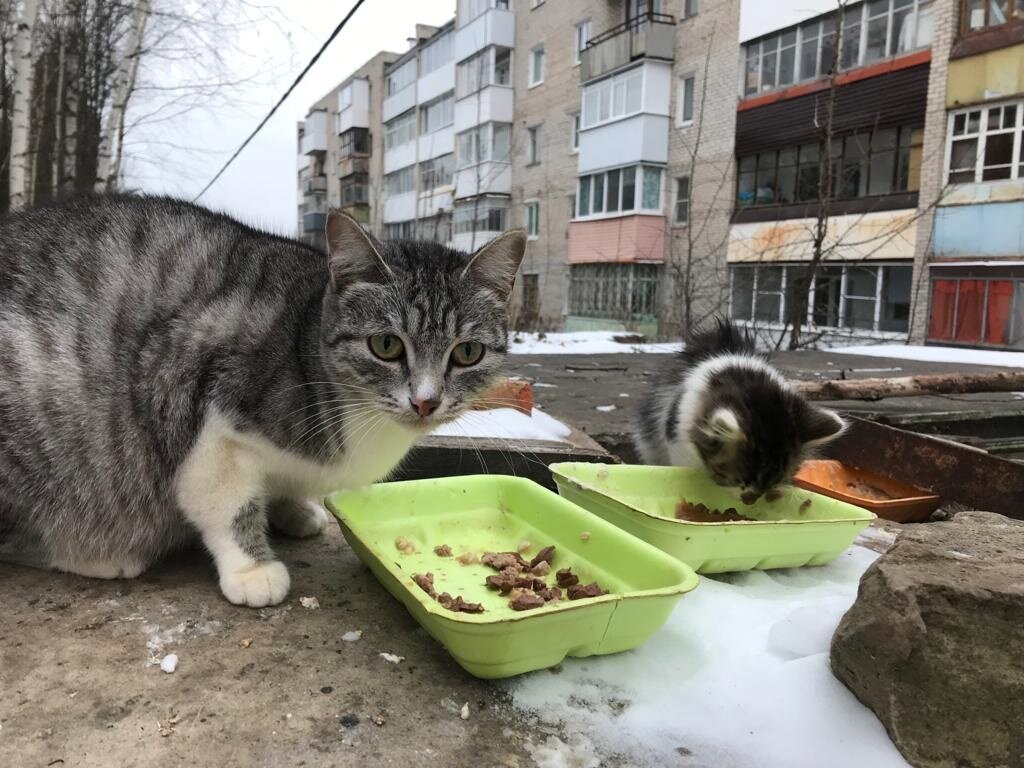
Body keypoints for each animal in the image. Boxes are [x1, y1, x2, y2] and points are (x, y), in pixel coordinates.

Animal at [0, 192, 528, 606]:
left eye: (467, 352)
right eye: (386, 345)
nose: (425, 402)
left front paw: (292, 509)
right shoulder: (201, 400)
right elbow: (226, 501)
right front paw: (252, 569)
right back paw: (97, 555)